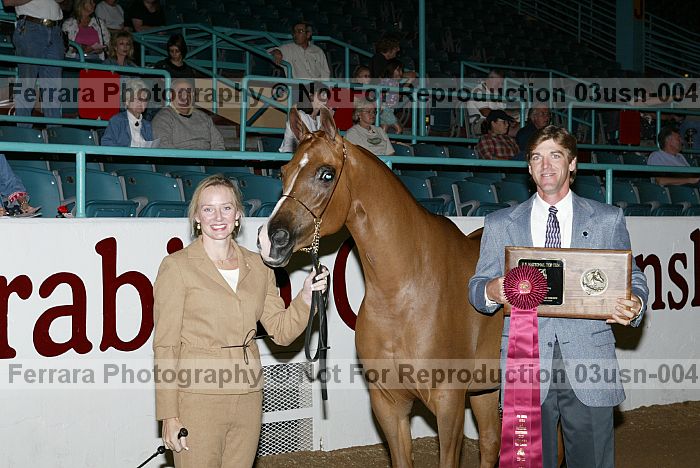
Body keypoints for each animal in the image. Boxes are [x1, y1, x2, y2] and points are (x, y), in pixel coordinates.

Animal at [257, 107, 504, 468]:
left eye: (326, 174)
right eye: (283, 172)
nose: (269, 239)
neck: (404, 292)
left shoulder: (449, 404)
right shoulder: (389, 405)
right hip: (486, 389)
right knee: (489, 443)